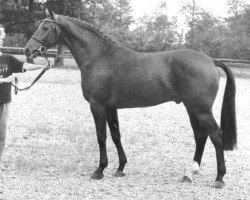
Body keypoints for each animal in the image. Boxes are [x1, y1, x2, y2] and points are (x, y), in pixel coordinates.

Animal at [23, 10, 236, 188]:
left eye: (45, 27)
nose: (27, 50)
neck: (99, 57)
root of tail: (210, 60)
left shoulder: (97, 106)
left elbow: (101, 137)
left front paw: (99, 170)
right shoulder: (111, 107)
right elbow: (116, 135)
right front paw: (120, 168)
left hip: (201, 109)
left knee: (216, 136)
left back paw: (219, 178)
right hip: (192, 108)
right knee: (200, 136)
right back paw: (189, 174)